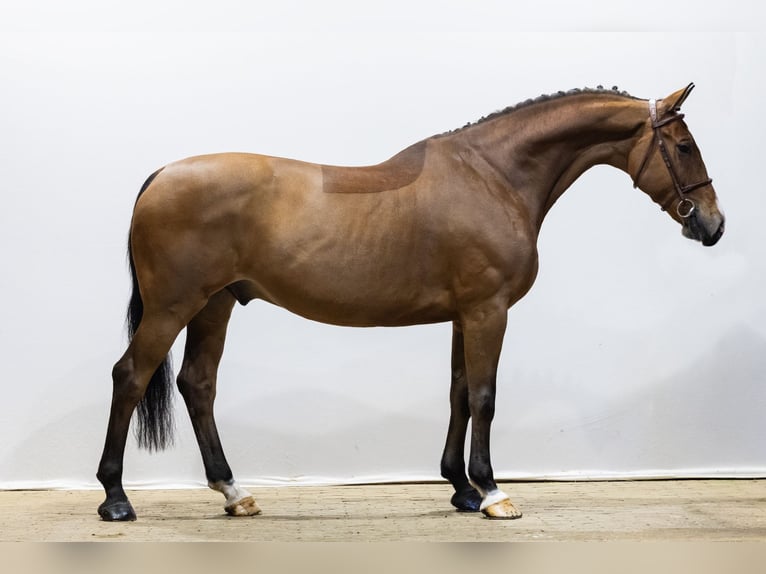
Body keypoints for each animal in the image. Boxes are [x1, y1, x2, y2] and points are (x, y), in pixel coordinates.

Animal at [97, 84, 725, 521]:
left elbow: (459, 394)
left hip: (216, 305)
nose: (713, 226)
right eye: (684, 146)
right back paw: (116, 498)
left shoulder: (463, 315)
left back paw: (234, 492)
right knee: (130, 376)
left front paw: (462, 489)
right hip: (173, 307)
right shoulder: (488, 311)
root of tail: (162, 176)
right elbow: (485, 397)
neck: (494, 177)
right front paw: (493, 493)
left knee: (197, 385)